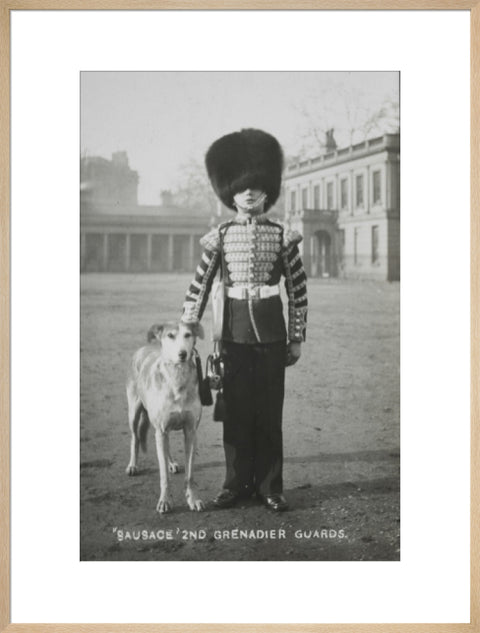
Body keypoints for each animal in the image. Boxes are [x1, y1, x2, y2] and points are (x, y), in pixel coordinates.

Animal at [124, 320, 205, 512]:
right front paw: (165, 501)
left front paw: (193, 499)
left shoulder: (191, 431)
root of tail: (144, 347)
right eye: (170, 336)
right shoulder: (160, 430)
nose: (182, 354)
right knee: (135, 438)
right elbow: (163, 477)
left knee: (165, 448)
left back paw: (171, 463)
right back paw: (133, 465)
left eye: (188, 335)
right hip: (134, 413)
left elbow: (190, 474)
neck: (177, 378)